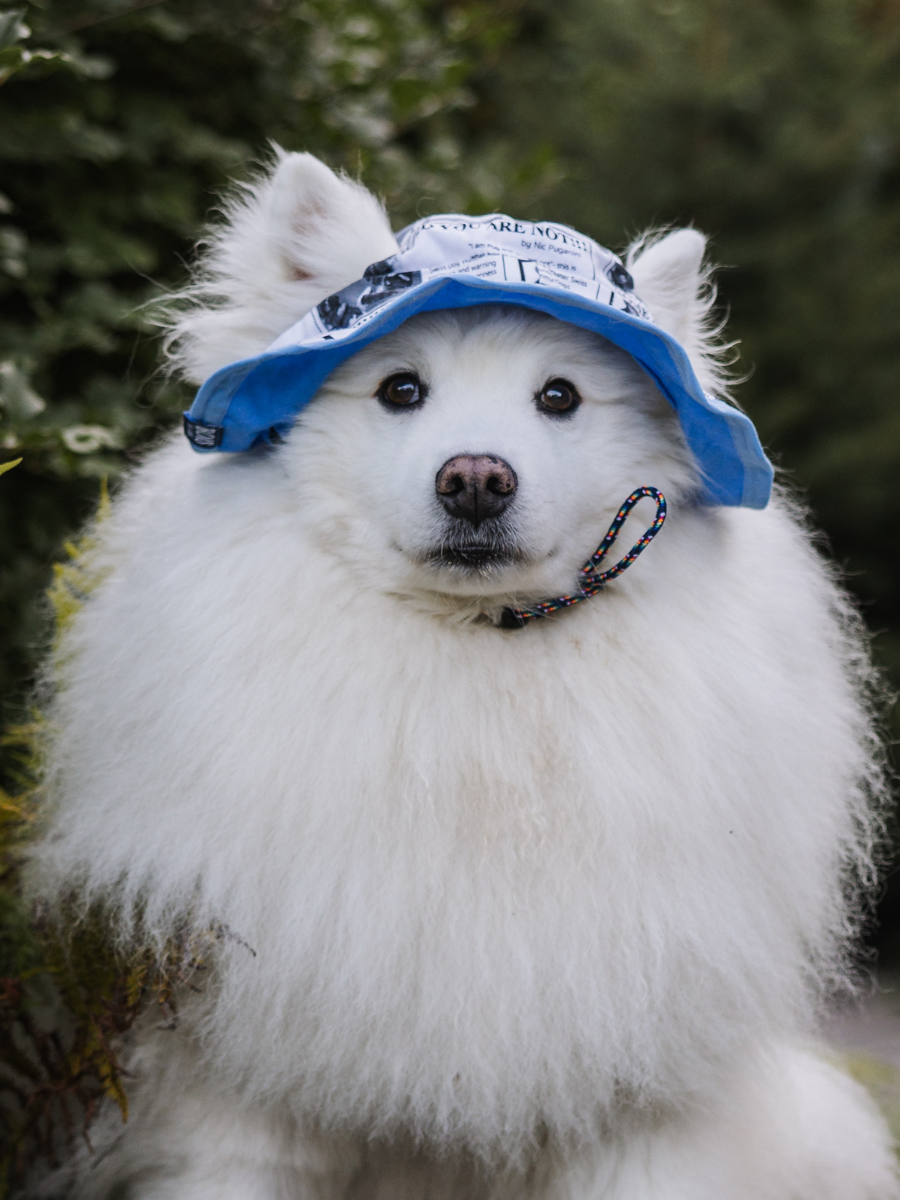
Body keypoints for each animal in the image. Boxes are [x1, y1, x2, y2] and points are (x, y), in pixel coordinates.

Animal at [33, 152, 900, 1200]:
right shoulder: (240, 1111)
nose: (477, 479)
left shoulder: (638, 1112)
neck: (475, 651)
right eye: (401, 389)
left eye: (560, 397)